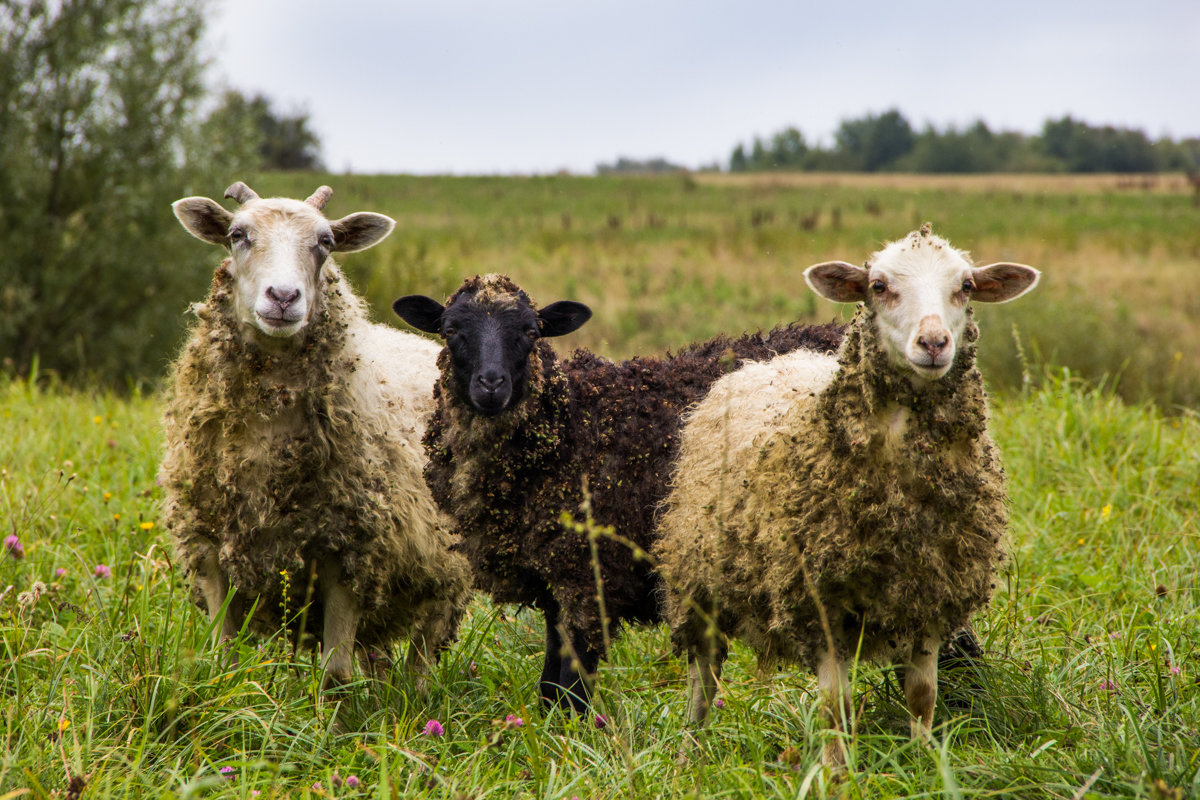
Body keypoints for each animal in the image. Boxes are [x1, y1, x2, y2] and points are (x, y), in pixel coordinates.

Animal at [162, 181, 470, 690]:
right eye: (237, 235)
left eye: (325, 242)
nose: (283, 296)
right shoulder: (210, 548)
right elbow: (221, 660)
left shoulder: (348, 552)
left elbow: (335, 673)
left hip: (443, 570)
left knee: (424, 653)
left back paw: (419, 700)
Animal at [393, 277, 844, 714]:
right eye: (450, 330)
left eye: (531, 331)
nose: (491, 384)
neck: (570, 427)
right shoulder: (558, 579)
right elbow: (550, 686)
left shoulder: (594, 577)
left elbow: (572, 689)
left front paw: (572, 734)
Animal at [657, 221, 1041, 767]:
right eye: (878, 286)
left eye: (966, 286)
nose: (934, 342)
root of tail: (769, 361)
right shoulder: (820, 602)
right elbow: (833, 704)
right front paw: (836, 770)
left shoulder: (930, 595)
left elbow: (922, 696)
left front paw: (921, 762)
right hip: (697, 582)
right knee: (702, 678)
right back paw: (690, 749)